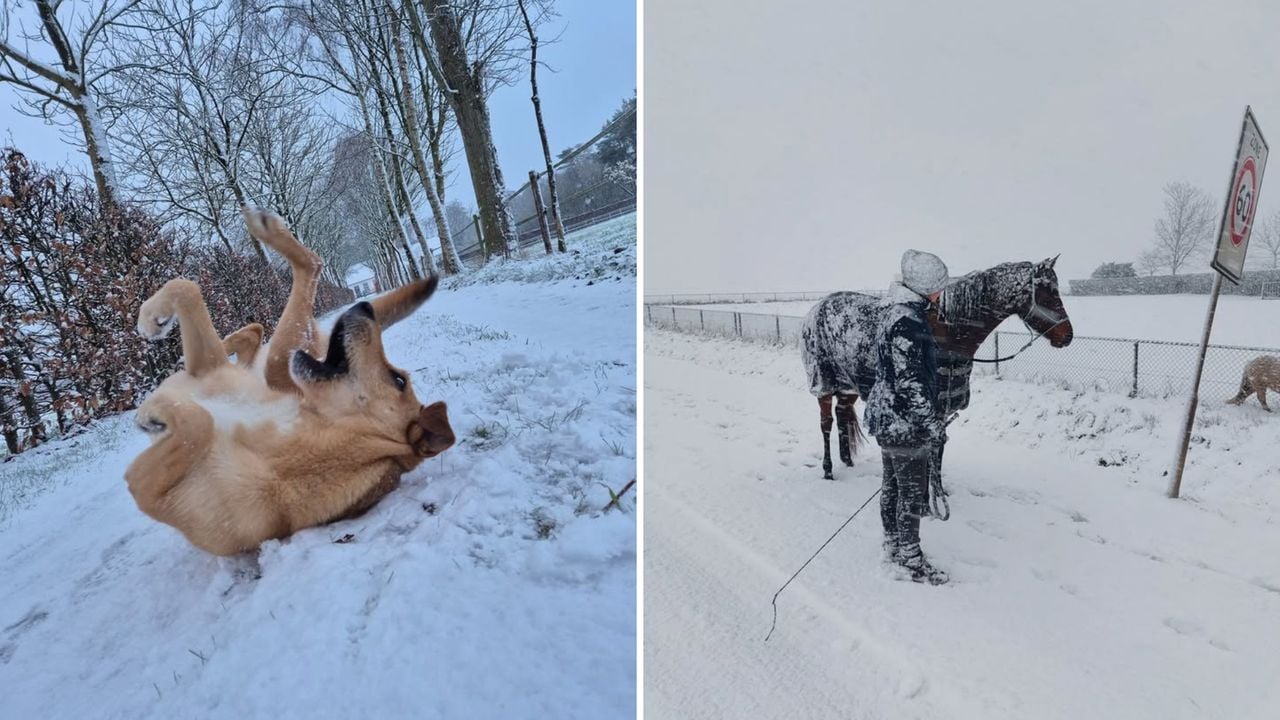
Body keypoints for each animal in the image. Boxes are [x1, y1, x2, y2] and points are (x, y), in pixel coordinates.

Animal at [800, 257, 1074, 479]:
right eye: (1049, 291)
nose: (1067, 336)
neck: (947, 333)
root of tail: (818, 307)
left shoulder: (941, 412)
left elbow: (938, 454)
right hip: (823, 382)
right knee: (826, 422)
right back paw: (828, 469)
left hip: (849, 385)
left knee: (842, 414)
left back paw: (847, 460)